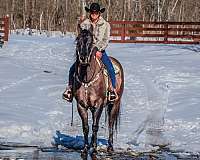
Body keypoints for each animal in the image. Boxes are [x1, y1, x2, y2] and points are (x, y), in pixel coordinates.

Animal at [72, 25, 123, 154]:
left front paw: (94, 148)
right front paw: (86, 148)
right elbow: (86, 127)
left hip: (114, 104)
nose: (83, 58)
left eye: (91, 42)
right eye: (77, 41)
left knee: (111, 123)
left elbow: (95, 126)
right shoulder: (81, 105)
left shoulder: (99, 104)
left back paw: (110, 146)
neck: (87, 79)